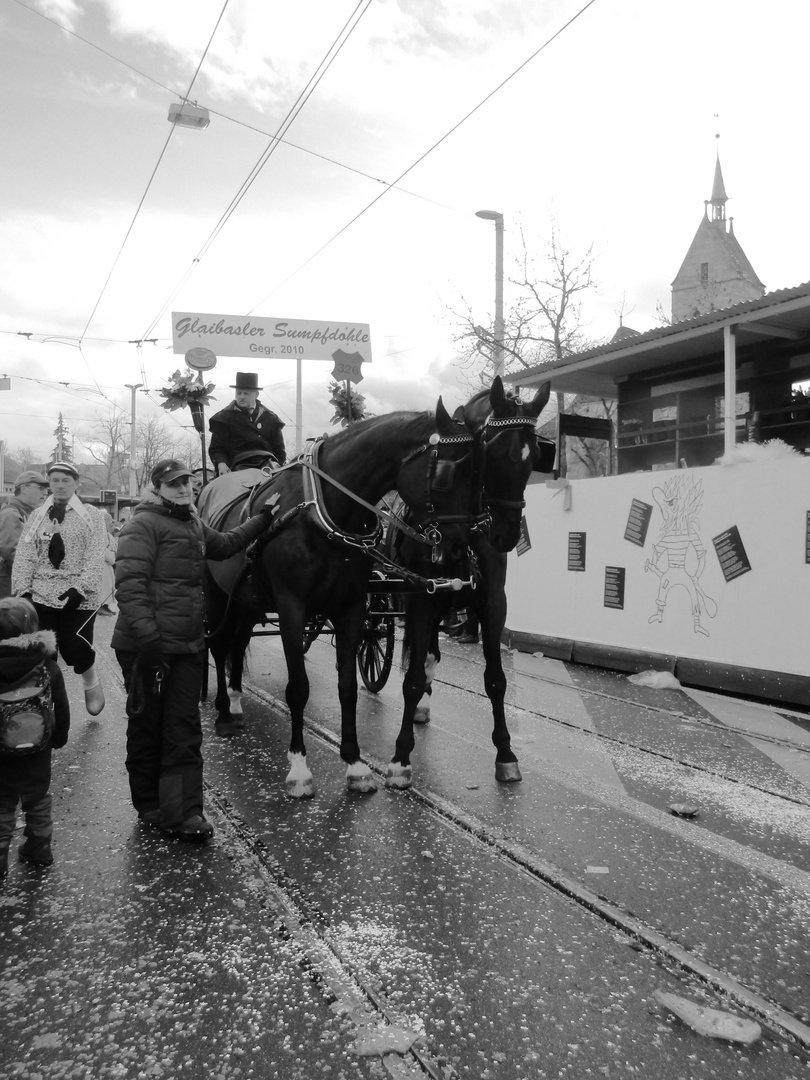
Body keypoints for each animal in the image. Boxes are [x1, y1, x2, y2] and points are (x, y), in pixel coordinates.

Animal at [198, 397, 486, 794]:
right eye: (444, 475)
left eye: (478, 476)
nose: (458, 550)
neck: (325, 508)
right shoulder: (291, 608)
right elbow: (298, 688)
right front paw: (299, 768)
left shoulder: (351, 607)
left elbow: (347, 685)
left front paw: (354, 763)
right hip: (215, 595)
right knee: (217, 643)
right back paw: (225, 712)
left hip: (244, 600)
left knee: (237, 643)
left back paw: (238, 700)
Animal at [384, 375, 552, 790]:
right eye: (492, 453)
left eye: (534, 458)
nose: (506, 535)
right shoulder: (422, 600)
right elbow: (411, 678)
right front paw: (400, 757)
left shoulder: (492, 604)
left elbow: (495, 680)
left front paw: (506, 753)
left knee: (430, 652)